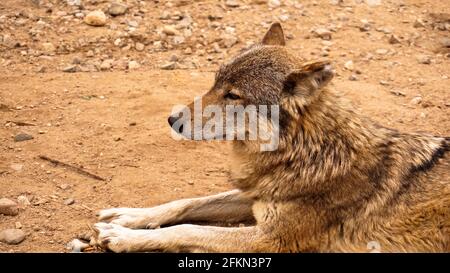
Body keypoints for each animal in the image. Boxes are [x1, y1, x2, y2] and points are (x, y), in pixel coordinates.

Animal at [93, 22, 448, 252]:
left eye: (233, 96)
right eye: (215, 83)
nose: (172, 119)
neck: (306, 153)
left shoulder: (271, 239)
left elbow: (187, 228)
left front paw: (123, 237)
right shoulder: (256, 196)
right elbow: (185, 203)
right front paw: (129, 217)